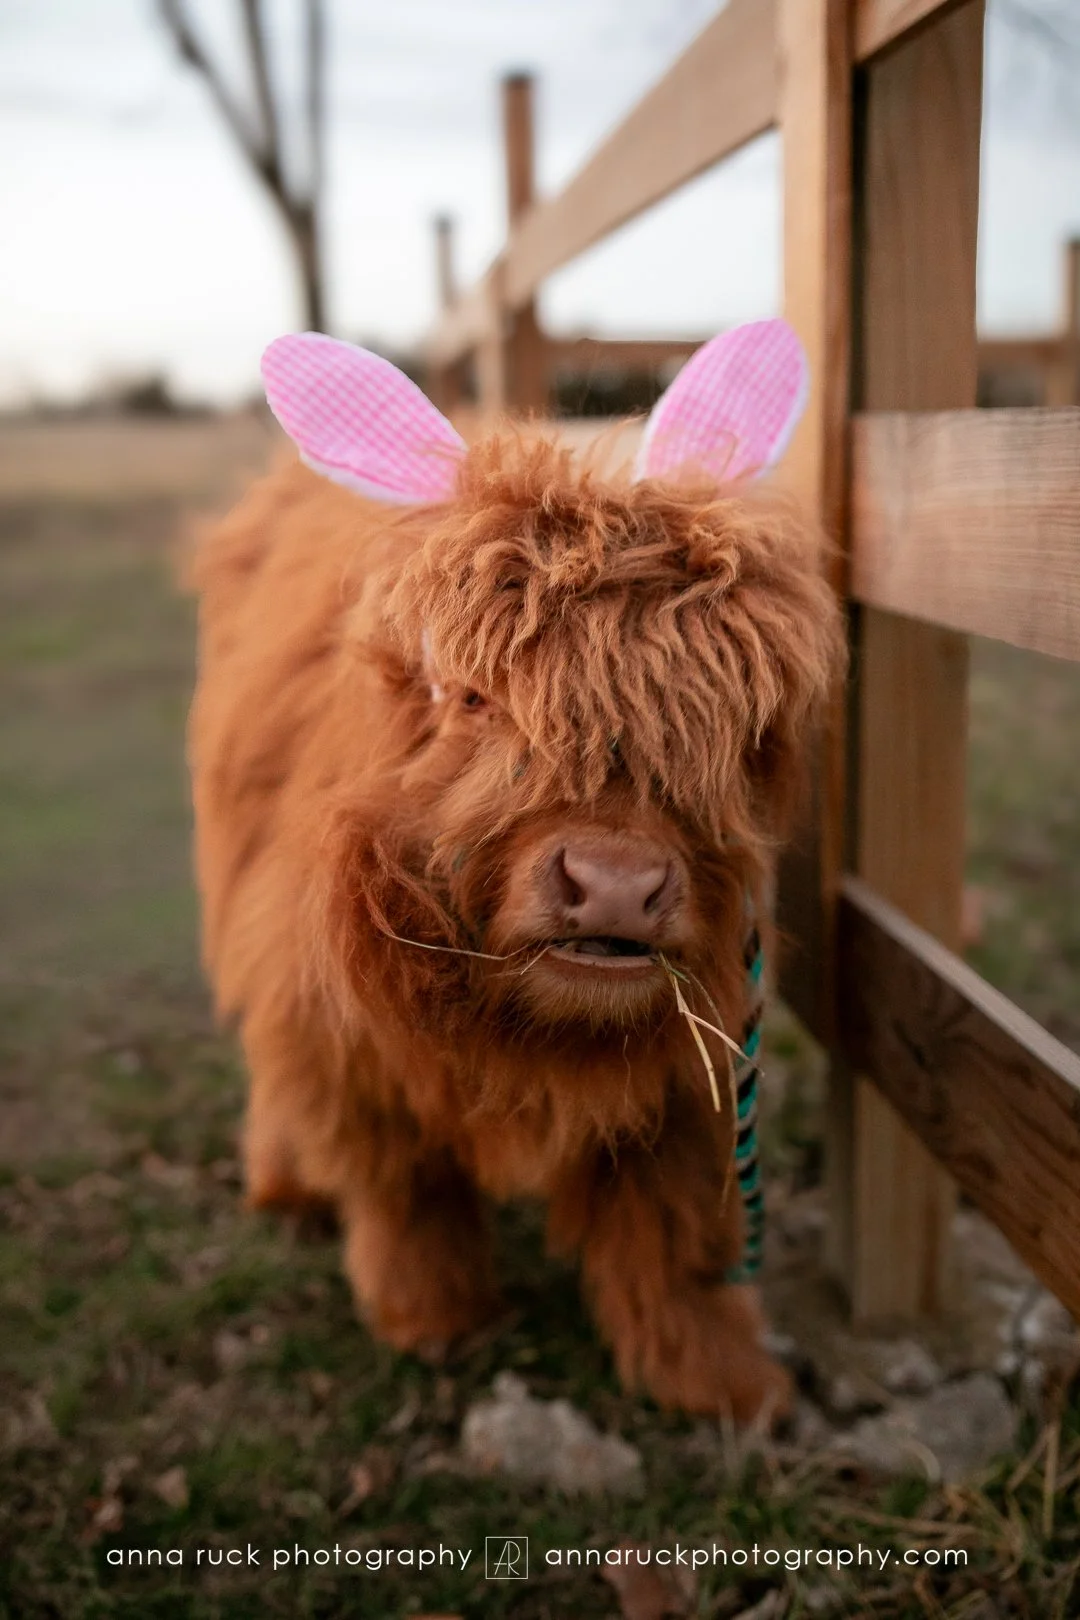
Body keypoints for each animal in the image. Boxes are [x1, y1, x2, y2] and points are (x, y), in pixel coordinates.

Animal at [188, 323, 843, 1425]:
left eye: (731, 726)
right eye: (473, 697)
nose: (615, 880)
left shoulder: (693, 1076)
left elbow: (669, 1234)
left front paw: (723, 1382)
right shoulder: (346, 1046)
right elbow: (406, 1194)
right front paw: (433, 1323)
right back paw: (284, 1187)